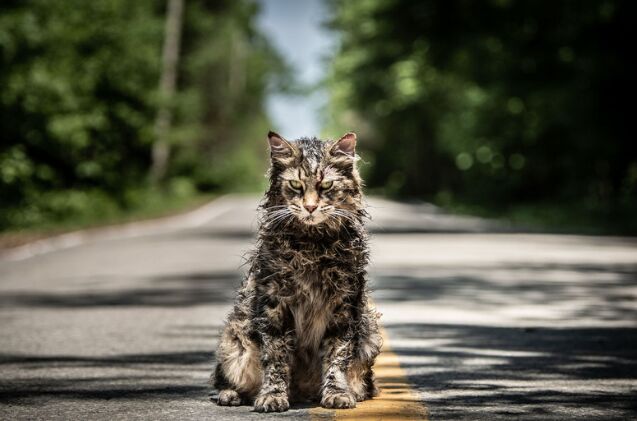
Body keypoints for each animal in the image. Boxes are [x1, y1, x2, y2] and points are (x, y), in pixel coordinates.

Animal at [211, 130, 380, 410]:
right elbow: (276, 358)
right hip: (234, 340)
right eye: (295, 185)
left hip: (370, 334)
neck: (312, 245)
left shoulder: (344, 306)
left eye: (326, 186)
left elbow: (337, 356)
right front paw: (273, 395)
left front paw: (336, 393)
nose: (310, 207)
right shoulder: (274, 305)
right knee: (226, 379)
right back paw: (231, 394)